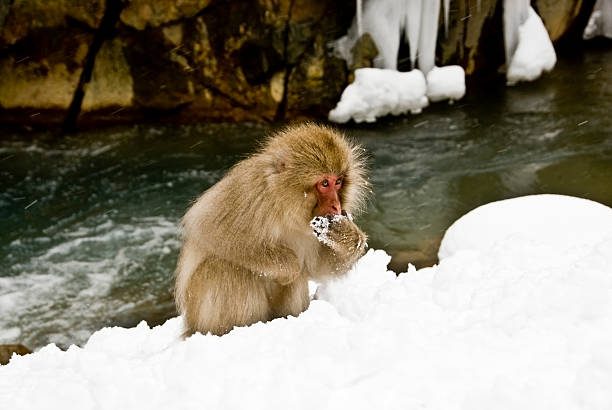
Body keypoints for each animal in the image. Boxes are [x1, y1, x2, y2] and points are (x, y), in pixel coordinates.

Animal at [175, 122, 370, 336]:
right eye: (324, 183)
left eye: (338, 182)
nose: (336, 206)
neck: (285, 205)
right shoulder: (250, 191)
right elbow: (210, 229)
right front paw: (289, 268)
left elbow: (317, 268)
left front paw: (346, 236)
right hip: (199, 311)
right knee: (225, 266)